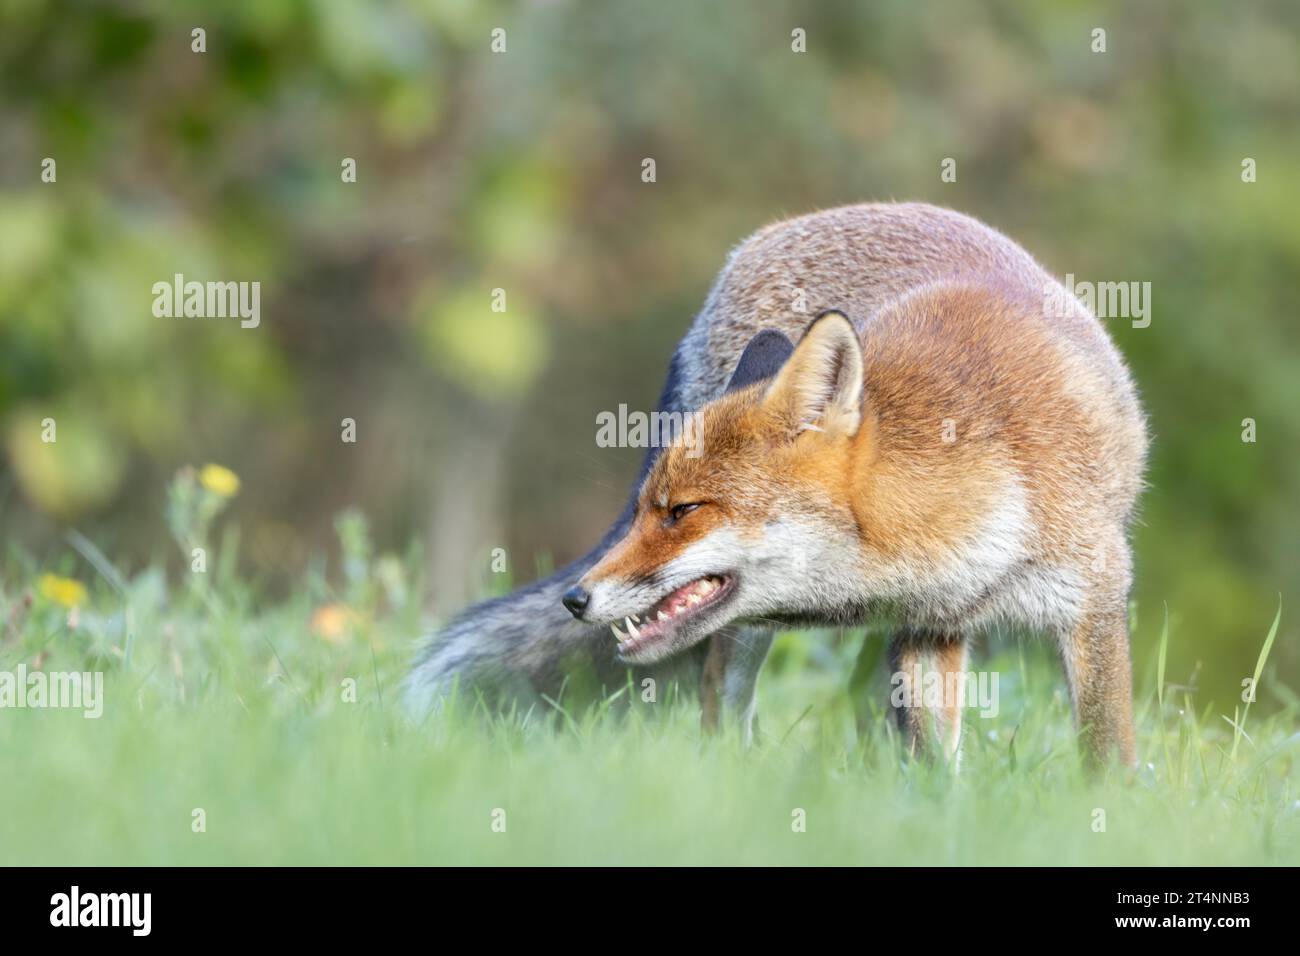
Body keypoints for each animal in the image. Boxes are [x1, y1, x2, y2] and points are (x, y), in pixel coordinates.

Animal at [405, 202, 1147, 768]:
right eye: (647, 509)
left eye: (682, 511)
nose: (575, 599)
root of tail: (760, 240)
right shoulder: (927, 624)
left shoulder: (1071, 604)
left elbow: (1095, 759)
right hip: (743, 633)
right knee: (717, 696)